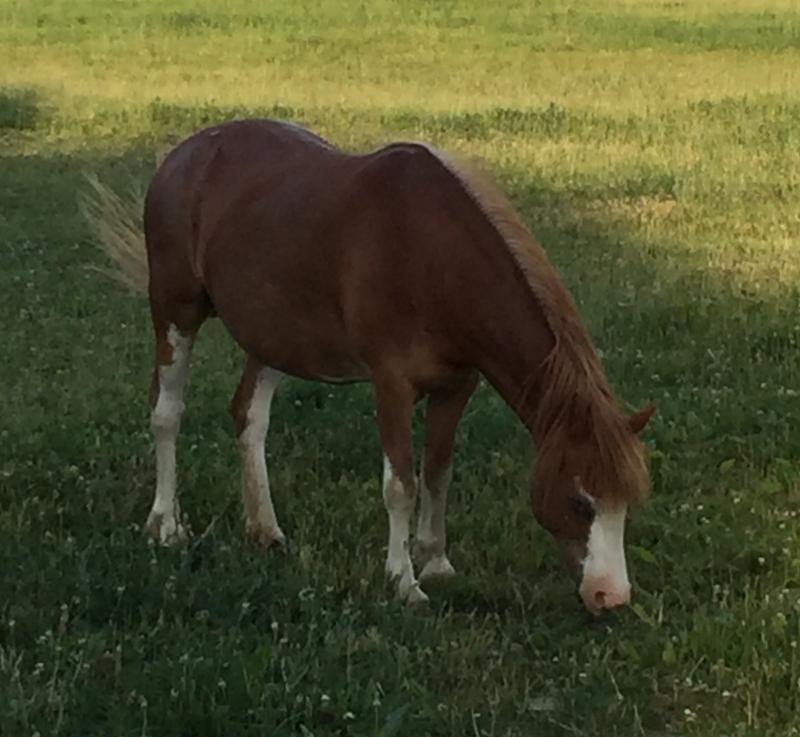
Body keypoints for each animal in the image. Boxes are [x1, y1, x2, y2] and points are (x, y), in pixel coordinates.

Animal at [85, 119, 655, 614]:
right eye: (580, 502)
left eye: (627, 502)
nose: (612, 598)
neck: (431, 254)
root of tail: (184, 154)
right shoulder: (392, 384)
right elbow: (401, 485)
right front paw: (403, 581)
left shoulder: (457, 386)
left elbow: (438, 473)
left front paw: (437, 563)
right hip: (175, 310)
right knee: (167, 413)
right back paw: (166, 525)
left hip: (273, 336)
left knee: (249, 417)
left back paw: (264, 530)